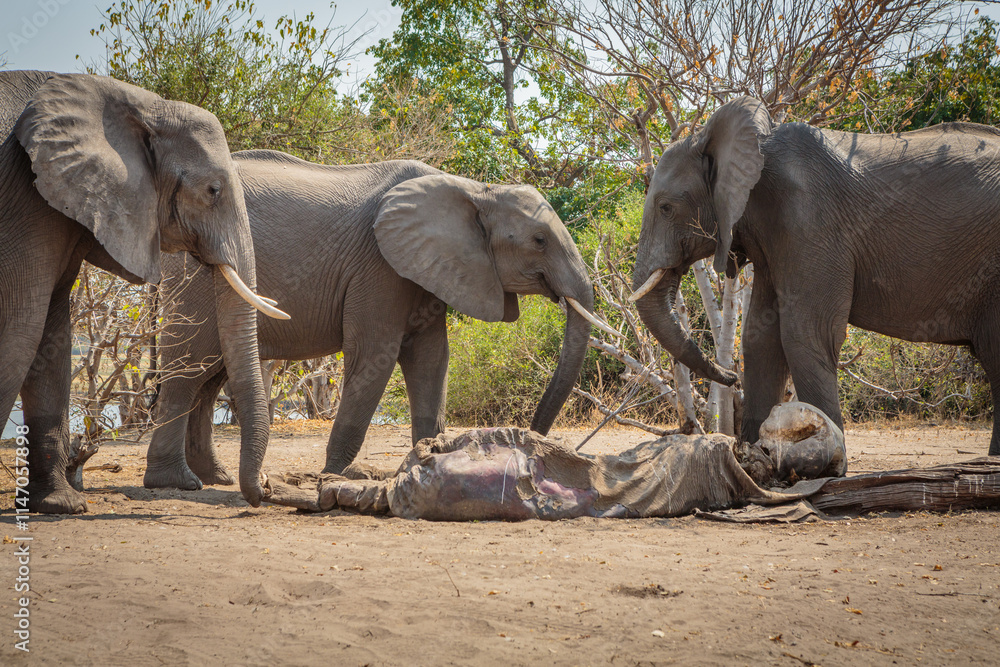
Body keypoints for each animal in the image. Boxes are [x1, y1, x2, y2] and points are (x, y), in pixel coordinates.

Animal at [1, 71, 288, 513]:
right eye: (213, 191)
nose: (268, 488)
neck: (143, 104)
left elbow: (51, 337)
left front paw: (60, 505)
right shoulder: (25, 201)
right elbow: (20, 334)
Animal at [144, 149, 606, 489]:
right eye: (539, 240)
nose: (534, 439)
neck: (474, 189)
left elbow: (432, 360)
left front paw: (432, 463)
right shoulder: (379, 266)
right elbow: (376, 356)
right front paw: (334, 476)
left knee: (210, 375)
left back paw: (215, 478)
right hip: (195, 276)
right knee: (189, 370)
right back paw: (175, 483)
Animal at [630, 96, 1000, 456]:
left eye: (665, 207)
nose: (731, 377)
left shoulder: (810, 220)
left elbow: (805, 333)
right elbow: (760, 337)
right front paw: (753, 461)